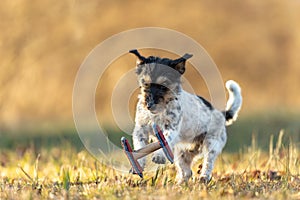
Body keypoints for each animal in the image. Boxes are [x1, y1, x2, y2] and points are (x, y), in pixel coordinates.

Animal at [128, 49, 241, 184]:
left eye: (164, 85)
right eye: (145, 83)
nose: (149, 105)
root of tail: (222, 114)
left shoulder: (171, 128)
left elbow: (165, 140)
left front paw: (159, 156)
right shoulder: (141, 129)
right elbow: (140, 146)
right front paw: (137, 164)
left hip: (211, 143)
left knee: (208, 163)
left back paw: (203, 178)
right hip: (182, 153)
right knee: (186, 172)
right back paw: (179, 184)